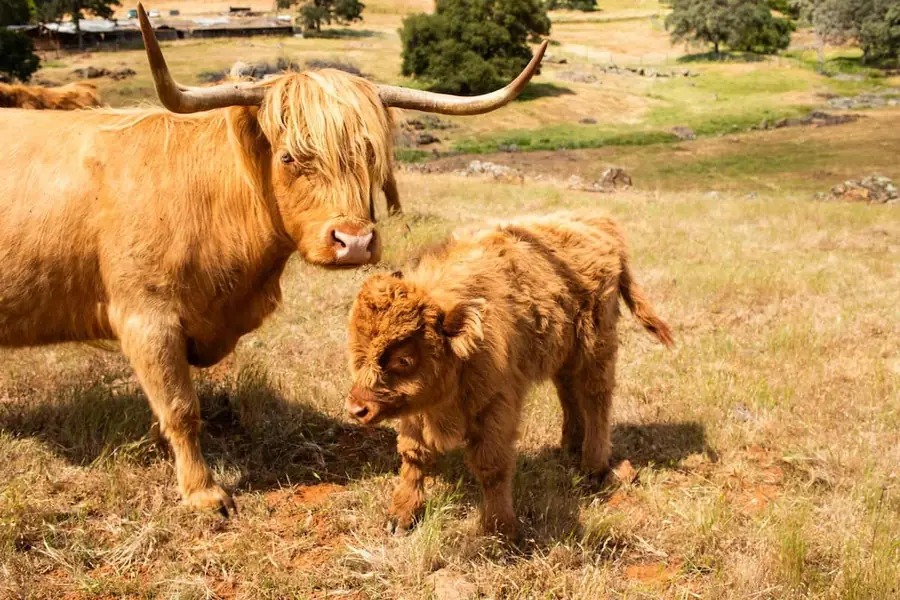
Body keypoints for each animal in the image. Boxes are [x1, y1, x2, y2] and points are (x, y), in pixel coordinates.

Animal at [0, 3, 547, 515]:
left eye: (369, 156)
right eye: (289, 157)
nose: (354, 241)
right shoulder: (145, 316)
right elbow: (180, 407)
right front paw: (203, 493)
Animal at [345, 213, 673, 537]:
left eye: (404, 359)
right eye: (356, 351)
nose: (357, 408)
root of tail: (598, 222)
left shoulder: (496, 405)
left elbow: (491, 465)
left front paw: (500, 528)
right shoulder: (417, 407)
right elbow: (413, 455)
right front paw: (400, 516)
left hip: (596, 347)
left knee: (596, 399)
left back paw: (594, 466)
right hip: (565, 353)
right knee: (569, 392)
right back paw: (569, 447)